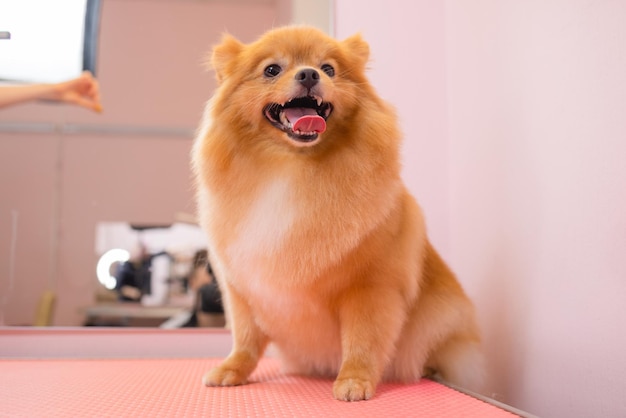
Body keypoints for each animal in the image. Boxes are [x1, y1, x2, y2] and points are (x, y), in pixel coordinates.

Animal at [193, 26, 480, 402]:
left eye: (328, 68)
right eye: (271, 69)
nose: (309, 74)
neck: (291, 170)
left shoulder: (369, 287)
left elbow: (361, 339)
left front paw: (354, 380)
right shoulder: (243, 287)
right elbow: (245, 338)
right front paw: (233, 369)